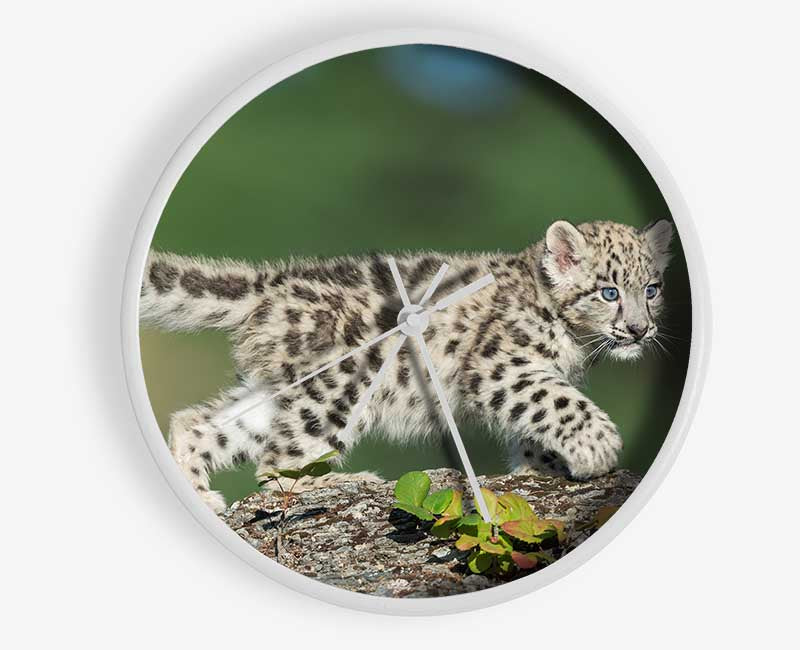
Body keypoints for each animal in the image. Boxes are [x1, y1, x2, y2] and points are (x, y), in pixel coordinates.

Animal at [140, 219, 674, 513]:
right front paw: (598, 448)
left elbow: (537, 422)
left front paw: (544, 466)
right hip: (340, 386)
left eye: (652, 289)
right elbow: (557, 402)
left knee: (200, 424)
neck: (573, 342)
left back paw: (201, 494)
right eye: (609, 291)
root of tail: (270, 283)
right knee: (277, 463)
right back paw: (346, 482)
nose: (639, 329)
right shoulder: (501, 366)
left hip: (282, 389)